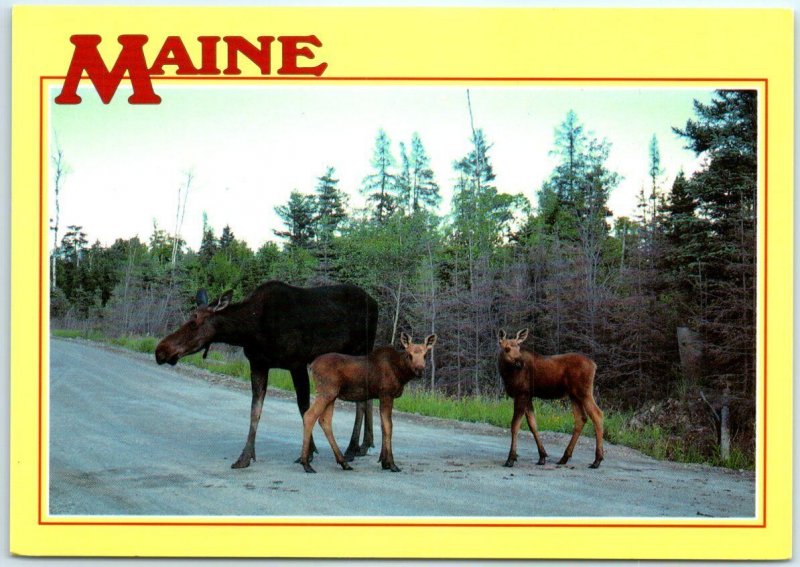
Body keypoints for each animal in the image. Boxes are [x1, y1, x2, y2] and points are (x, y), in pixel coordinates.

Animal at [159, 280, 382, 470]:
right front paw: (245, 457)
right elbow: (255, 410)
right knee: (367, 397)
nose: (161, 350)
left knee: (362, 402)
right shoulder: (258, 364)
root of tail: (375, 303)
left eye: (194, 323)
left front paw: (308, 453)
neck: (252, 330)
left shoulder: (297, 362)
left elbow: (303, 408)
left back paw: (352, 448)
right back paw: (365, 445)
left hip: (360, 349)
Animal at [300, 332, 438, 474]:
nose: (419, 370)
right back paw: (306, 463)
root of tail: (312, 366)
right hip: (326, 392)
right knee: (309, 416)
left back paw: (343, 462)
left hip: (332, 395)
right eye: (409, 354)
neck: (400, 373)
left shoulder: (383, 396)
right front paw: (391, 463)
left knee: (324, 421)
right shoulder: (386, 394)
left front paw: (384, 461)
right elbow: (388, 426)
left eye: (425, 355)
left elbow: (383, 426)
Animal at [496, 328, 604, 470]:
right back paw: (564, 458)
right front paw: (542, 456)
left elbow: (515, 425)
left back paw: (597, 460)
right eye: (507, 348)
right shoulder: (528, 396)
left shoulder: (521, 394)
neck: (506, 374)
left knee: (597, 415)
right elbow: (533, 425)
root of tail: (594, 365)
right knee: (581, 418)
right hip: (574, 395)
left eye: (518, 347)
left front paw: (510, 459)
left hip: (584, 392)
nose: (520, 363)